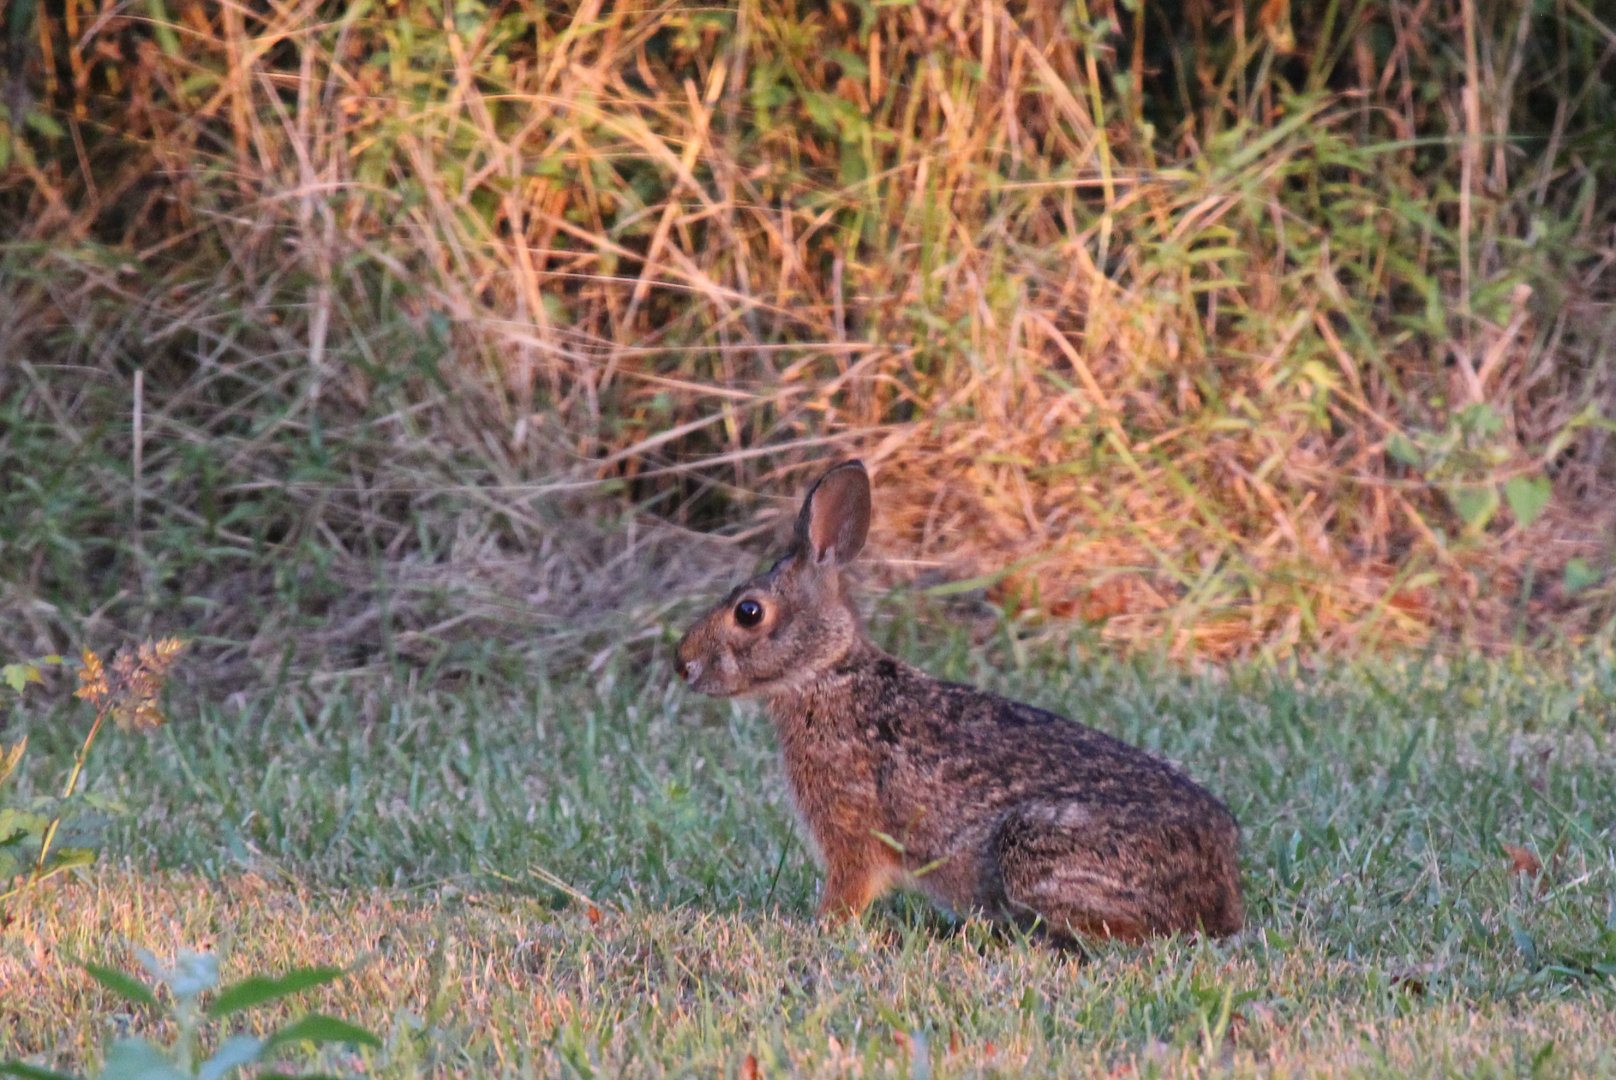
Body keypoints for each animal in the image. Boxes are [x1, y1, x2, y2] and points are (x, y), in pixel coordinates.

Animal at [674, 460, 1244, 942]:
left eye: (749, 612)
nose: (683, 664)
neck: (826, 674)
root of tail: (1221, 888)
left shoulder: (852, 831)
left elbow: (850, 888)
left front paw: (823, 927)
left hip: (1034, 848)